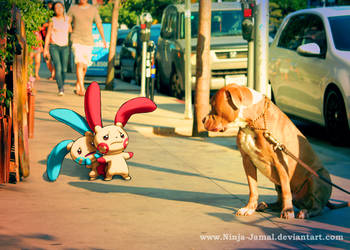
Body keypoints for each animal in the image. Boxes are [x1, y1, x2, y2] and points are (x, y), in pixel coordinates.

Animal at [201, 84, 332, 219]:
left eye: (213, 105)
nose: (202, 120)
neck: (252, 123)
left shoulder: (280, 163)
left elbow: (286, 190)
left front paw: (288, 211)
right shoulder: (247, 160)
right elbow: (253, 188)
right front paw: (249, 208)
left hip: (316, 177)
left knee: (317, 206)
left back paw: (305, 212)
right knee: (280, 198)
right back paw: (267, 205)